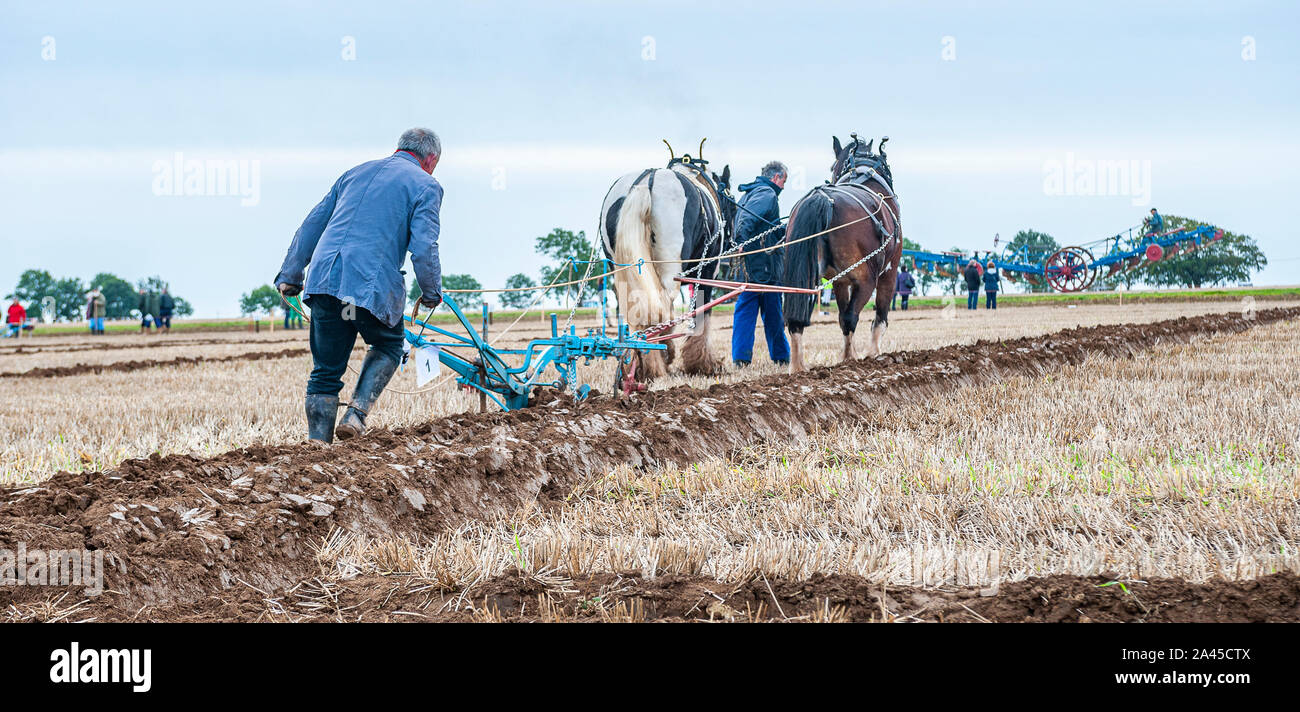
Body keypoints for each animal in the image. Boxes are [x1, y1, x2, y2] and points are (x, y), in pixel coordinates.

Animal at [595, 140, 733, 381]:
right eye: (732, 204)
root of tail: (646, 180)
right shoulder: (707, 273)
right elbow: (702, 314)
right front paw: (702, 364)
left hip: (620, 271)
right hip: (670, 269)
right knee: (659, 308)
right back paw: (656, 364)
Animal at [780, 131, 904, 371]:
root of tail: (821, 198)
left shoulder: (839, 281)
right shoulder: (889, 272)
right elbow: (879, 318)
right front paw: (873, 354)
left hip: (803, 277)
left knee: (797, 320)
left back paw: (798, 368)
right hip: (867, 279)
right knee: (851, 317)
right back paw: (850, 359)